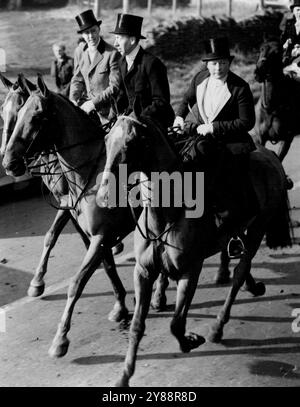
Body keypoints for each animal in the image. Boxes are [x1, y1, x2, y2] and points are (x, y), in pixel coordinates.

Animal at [97, 114, 292, 386]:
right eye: (106, 140)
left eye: (131, 143)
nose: (104, 196)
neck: (167, 213)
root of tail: (271, 155)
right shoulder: (143, 272)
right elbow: (136, 326)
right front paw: (124, 377)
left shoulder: (190, 271)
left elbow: (176, 324)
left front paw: (190, 341)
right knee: (237, 253)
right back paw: (251, 285)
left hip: (258, 228)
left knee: (241, 270)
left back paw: (219, 325)